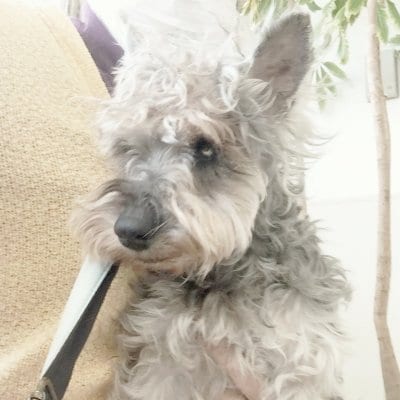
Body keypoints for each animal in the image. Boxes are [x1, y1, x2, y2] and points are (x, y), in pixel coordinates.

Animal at [72, 12, 350, 400]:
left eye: (205, 148)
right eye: (128, 148)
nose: (127, 230)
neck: (222, 273)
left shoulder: (301, 362)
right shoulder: (161, 365)